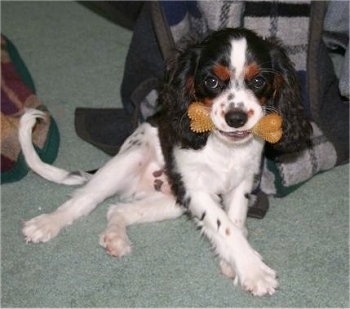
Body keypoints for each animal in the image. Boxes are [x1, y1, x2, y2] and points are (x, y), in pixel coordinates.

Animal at [17, 27, 310, 294]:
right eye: (212, 81)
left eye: (259, 81)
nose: (236, 118)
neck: (224, 146)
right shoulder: (195, 189)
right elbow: (224, 225)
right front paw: (254, 271)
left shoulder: (241, 183)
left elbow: (235, 222)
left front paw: (234, 263)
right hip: (128, 161)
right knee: (82, 200)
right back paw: (46, 224)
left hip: (171, 203)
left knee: (116, 210)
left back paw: (115, 239)